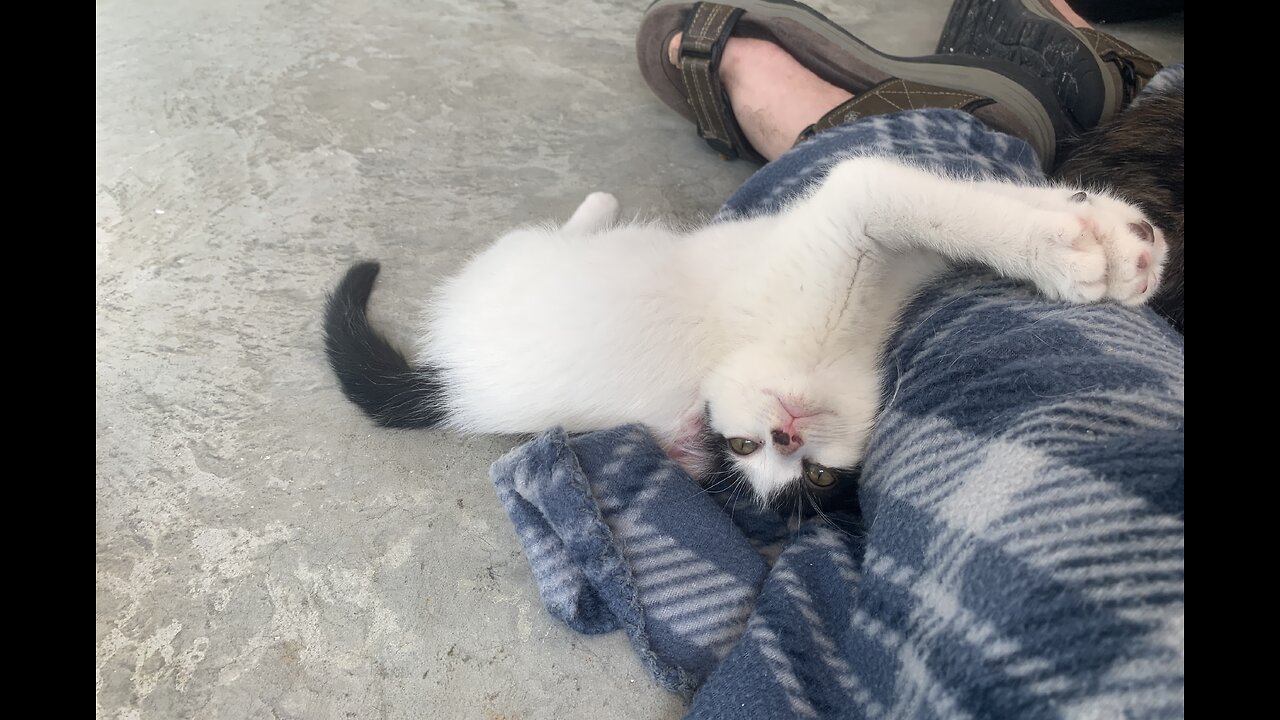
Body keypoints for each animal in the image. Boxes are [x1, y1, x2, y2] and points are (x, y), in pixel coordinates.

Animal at [325, 154, 1167, 502]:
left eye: (816, 475)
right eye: (744, 449)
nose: (787, 433)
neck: (837, 348)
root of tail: (451, 382)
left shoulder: (895, 261)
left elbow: (953, 205)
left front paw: (1099, 223)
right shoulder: (848, 212)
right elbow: (910, 191)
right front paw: (1066, 246)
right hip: (513, 258)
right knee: (557, 233)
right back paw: (598, 207)